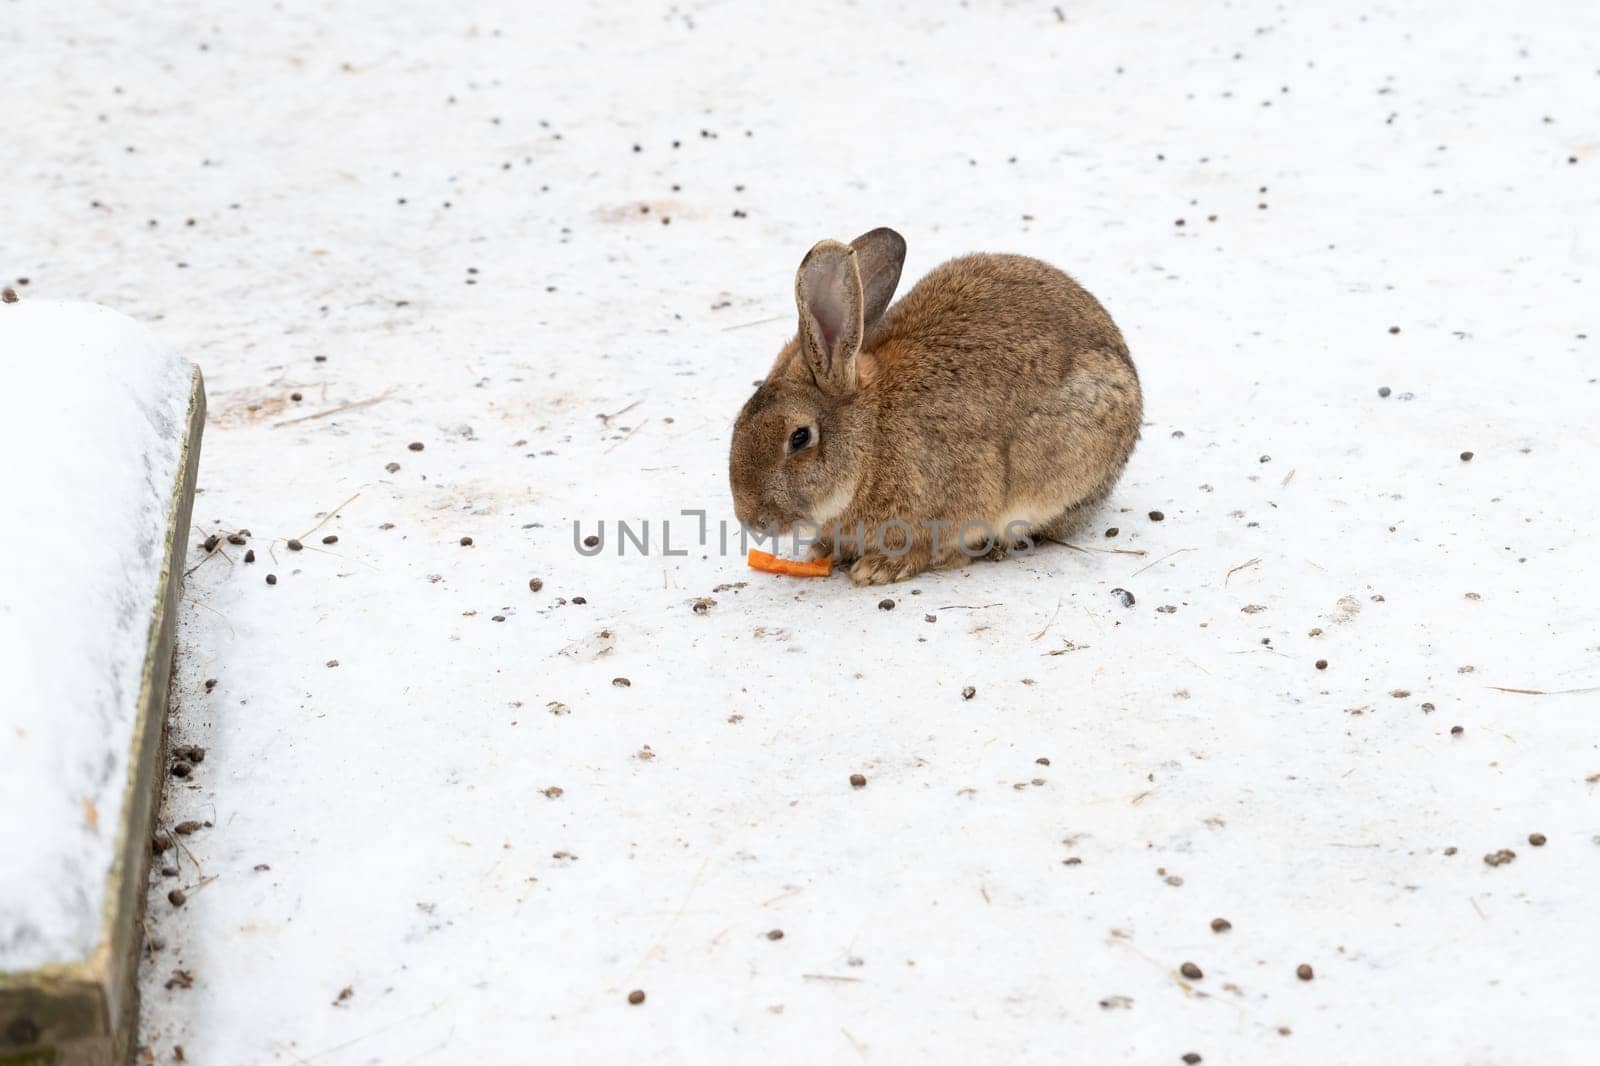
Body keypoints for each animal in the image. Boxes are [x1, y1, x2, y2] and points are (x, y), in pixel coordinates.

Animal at [732, 227, 1145, 585]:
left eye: (799, 437)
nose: (750, 519)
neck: (871, 437)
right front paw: (824, 551)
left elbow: (933, 542)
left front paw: (880, 568)